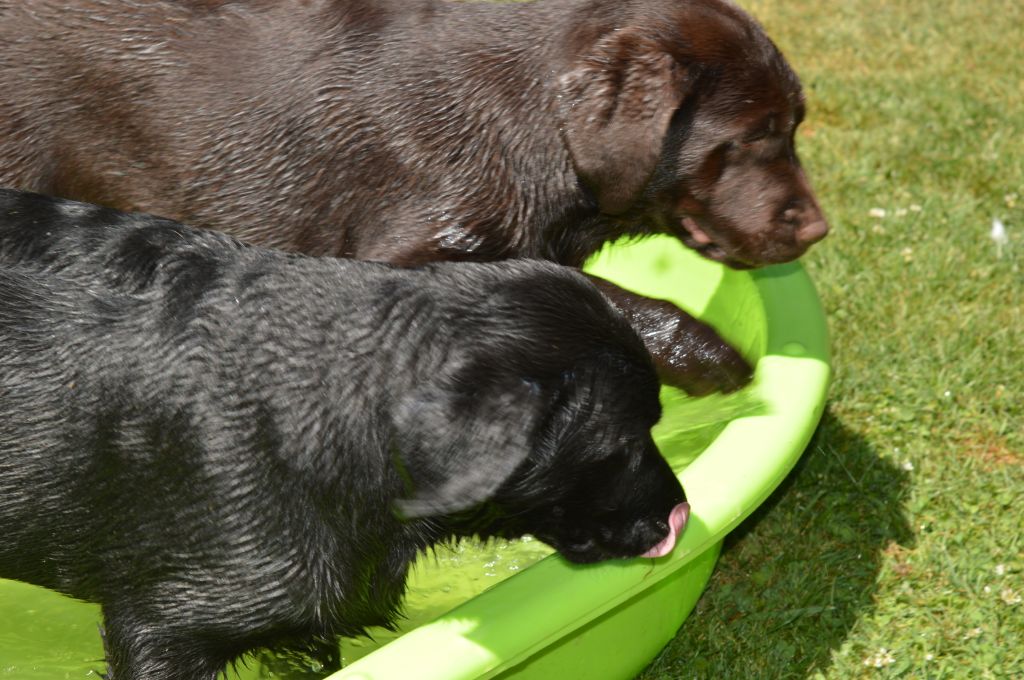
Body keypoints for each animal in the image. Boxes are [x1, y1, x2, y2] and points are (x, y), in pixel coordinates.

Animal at [0, 0, 827, 393]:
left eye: (794, 124)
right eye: (754, 136)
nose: (817, 228)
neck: (536, 124)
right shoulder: (404, 256)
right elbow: (578, 288)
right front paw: (701, 349)